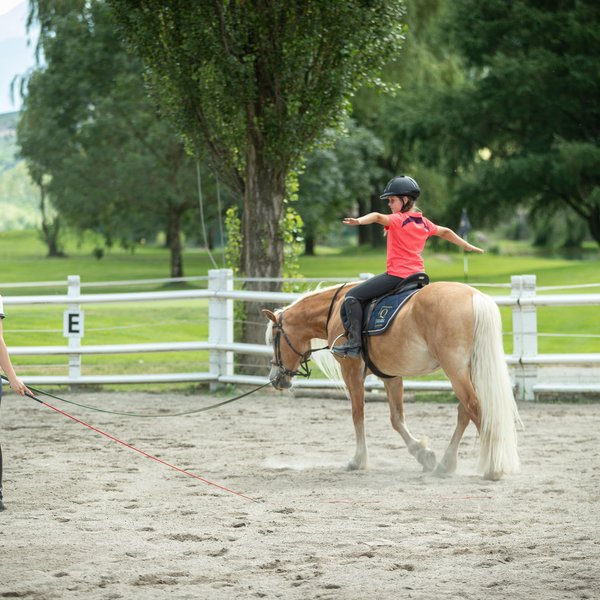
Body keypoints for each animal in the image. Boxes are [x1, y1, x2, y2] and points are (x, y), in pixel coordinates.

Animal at [262, 282, 520, 482]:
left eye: (273, 339)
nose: (275, 378)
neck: (335, 310)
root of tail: (475, 297)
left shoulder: (351, 371)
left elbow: (357, 415)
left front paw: (359, 460)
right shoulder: (390, 375)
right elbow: (396, 419)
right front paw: (422, 454)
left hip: (455, 370)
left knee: (475, 408)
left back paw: (493, 467)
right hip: (467, 370)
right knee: (465, 411)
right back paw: (446, 464)